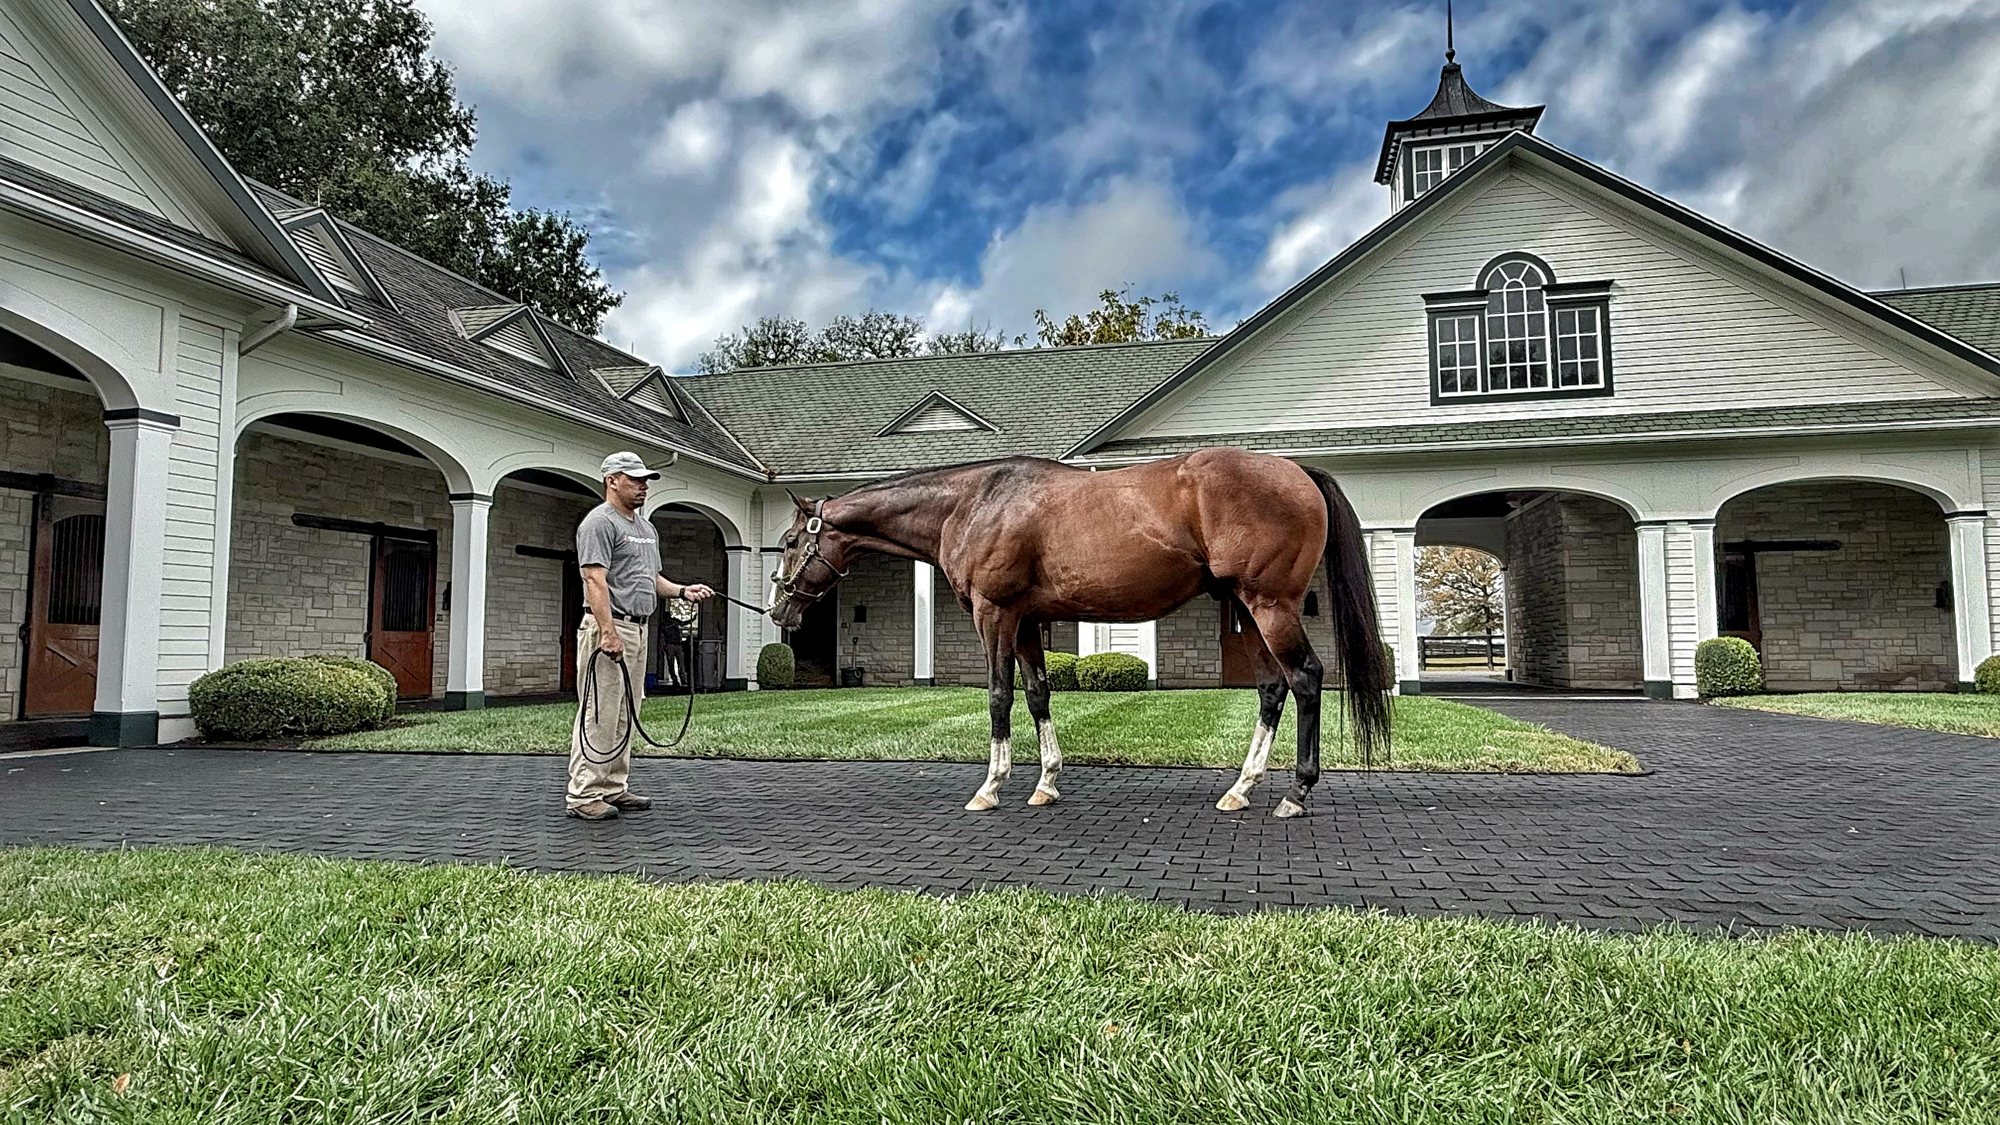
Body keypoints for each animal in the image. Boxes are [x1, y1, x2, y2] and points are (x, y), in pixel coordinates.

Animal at [766, 447, 1391, 817]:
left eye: (793, 542)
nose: (778, 611)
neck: (974, 503)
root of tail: (1296, 470)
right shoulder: (1026, 620)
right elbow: (1038, 693)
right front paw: (1046, 781)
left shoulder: (994, 614)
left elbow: (999, 695)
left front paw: (990, 787)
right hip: (1246, 606)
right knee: (1271, 688)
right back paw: (1241, 789)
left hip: (1270, 605)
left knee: (1305, 678)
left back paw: (1295, 793)